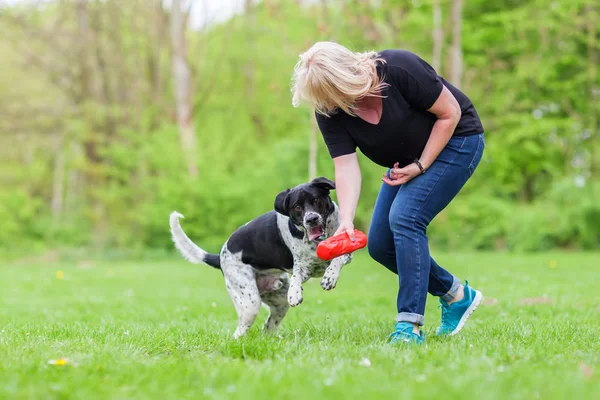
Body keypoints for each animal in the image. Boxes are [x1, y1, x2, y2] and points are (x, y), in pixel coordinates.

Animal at [169, 177, 352, 338]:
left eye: (316, 199)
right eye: (297, 207)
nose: (311, 219)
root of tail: (220, 256)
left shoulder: (345, 253)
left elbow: (338, 258)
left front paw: (330, 276)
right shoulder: (303, 267)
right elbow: (296, 277)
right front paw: (295, 293)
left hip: (279, 301)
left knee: (268, 328)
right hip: (250, 304)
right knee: (239, 333)